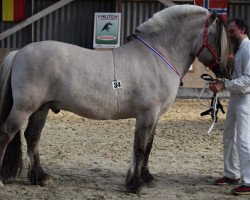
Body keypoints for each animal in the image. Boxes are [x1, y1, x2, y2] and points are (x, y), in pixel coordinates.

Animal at [0, 4, 230, 192]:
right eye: (218, 37)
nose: (227, 70)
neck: (157, 56)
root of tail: (19, 52)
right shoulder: (146, 114)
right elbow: (139, 147)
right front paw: (136, 184)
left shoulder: (154, 117)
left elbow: (148, 146)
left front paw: (147, 178)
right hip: (24, 108)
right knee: (7, 133)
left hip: (42, 108)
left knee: (32, 137)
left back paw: (40, 177)